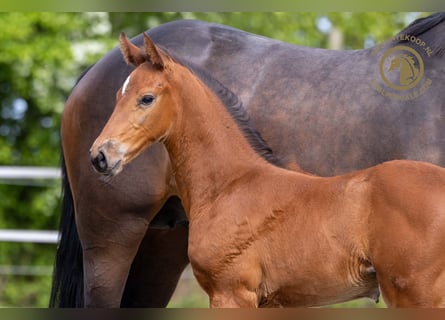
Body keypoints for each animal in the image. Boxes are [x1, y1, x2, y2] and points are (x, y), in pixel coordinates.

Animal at [50, 13, 444, 308]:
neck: (233, 182)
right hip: (115, 233)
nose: (101, 155)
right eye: (118, 96)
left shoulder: (234, 293)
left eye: (146, 98)